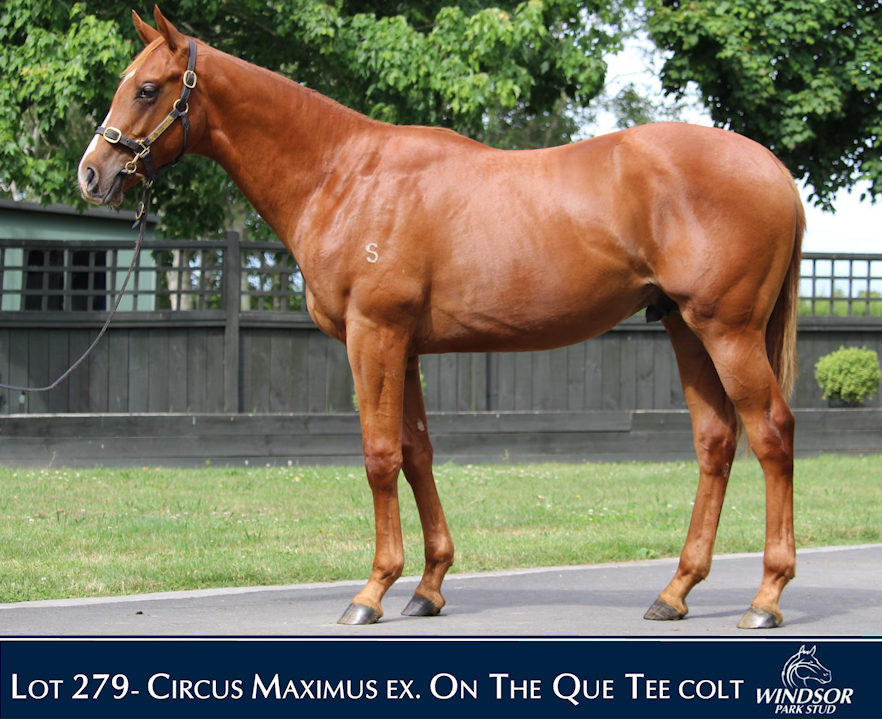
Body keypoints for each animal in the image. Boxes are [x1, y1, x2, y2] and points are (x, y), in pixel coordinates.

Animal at [79, 7, 804, 629]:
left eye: (147, 89)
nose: (91, 174)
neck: (345, 174)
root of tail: (773, 171)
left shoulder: (374, 336)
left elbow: (378, 456)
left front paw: (372, 591)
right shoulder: (405, 348)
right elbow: (417, 453)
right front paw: (427, 587)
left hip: (727, 331)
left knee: (771, 433)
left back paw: (766, 596)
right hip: (685, 328)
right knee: (715, 441)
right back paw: (675, 591)